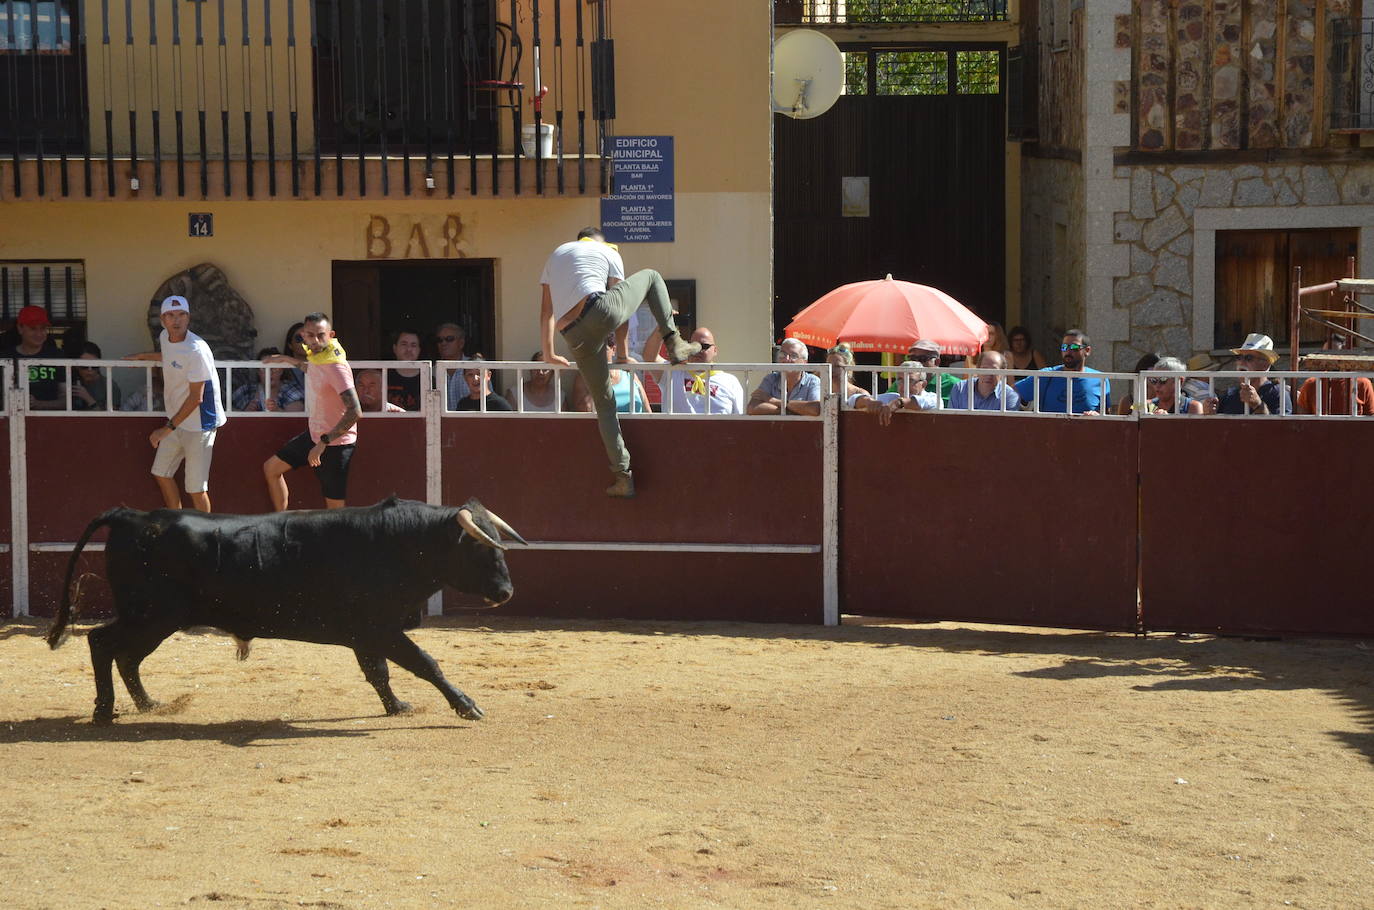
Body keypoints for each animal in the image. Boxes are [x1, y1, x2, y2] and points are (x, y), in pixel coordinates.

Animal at [44, 500, 524, 725]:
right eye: (482, 549)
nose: (506, 592)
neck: (398, 544)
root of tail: (132, 516)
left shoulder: (367, 634)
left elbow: (379, 673)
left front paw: (398, 706)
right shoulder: (380, 628)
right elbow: (425, 663)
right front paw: (466, 706)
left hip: (156, 620)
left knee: (125, 655)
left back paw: (149, 704)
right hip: (150, 615)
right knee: (102, 642)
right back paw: (105, 711)